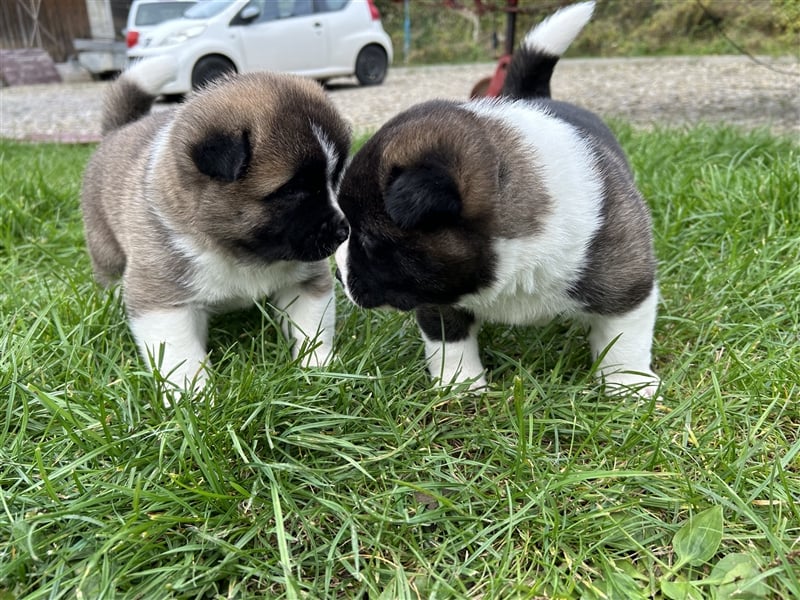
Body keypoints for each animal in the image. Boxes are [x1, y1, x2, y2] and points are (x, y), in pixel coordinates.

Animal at [80, 57, 350, 394]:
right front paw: (192, 395)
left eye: (335, 177)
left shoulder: (304, 281)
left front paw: (319, 366)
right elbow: (180, 354)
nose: (343, 232)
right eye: (293, 190)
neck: (238, 250)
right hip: (106, 247)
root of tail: (117, 130)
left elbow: (313, 328)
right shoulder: (163, 301)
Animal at [334, 3, 660, 398]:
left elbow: (625, 340)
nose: (337, 273)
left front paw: (630, 387)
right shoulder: (438, 296)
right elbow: (449, 341)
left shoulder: (628, 285)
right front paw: (459, 385)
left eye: (368, 240)